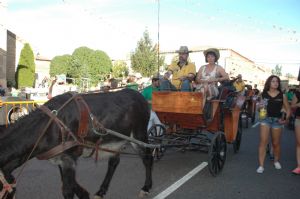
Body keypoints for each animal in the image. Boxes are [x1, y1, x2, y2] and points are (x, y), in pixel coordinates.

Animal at [0, 89, 151, 198]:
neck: (49, 126)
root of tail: (139, 94)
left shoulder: (68, 159)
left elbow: (68, 190)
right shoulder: (59, 158)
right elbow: (71, 185)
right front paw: (85, 195)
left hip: (139, 135)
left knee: (147, 157)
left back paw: (146, 188)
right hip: (117, 141)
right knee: (113, 162)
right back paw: (101, 191)